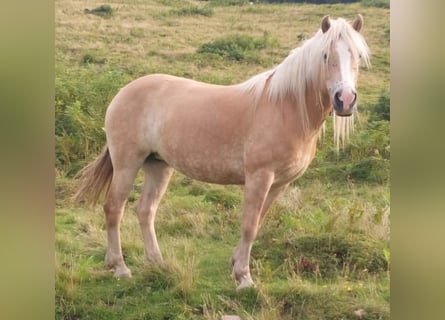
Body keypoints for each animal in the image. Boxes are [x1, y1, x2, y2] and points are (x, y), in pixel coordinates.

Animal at [74, 14, 370, 290]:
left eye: (357, 55)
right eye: (325, 55)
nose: (345, 99)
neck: (285, 108)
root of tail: (122, 92)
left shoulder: (280, 183)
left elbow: (257, 223)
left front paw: (235, 265)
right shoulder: (259, 177)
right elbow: (249, 225)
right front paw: (244, 278)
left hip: (158, 165)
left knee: (145, 210)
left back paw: (157, 263)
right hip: (127, 164)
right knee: (114, 208)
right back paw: (120, 267)